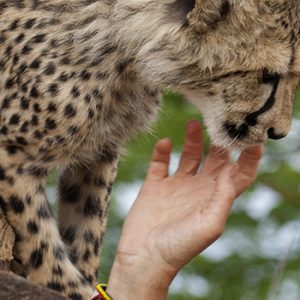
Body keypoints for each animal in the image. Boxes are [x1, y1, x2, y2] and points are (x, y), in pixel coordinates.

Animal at [0, 0, 298, 298]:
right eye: (269, 75)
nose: (278, 132)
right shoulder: (13, 156)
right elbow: (43, 247)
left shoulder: (99, 157)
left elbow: (86, 232)